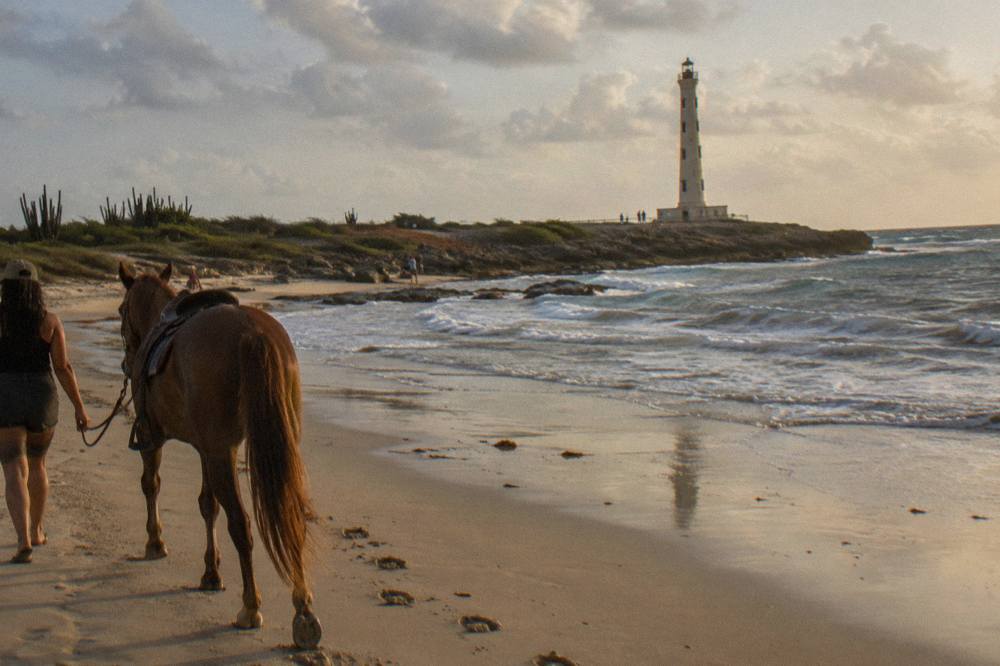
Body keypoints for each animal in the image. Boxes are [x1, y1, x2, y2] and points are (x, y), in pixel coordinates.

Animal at [116, 262, 321, 649]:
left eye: (121, 311)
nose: (126, 362)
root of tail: (252, 332)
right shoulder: (208, 449)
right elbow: (206, 505)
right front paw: (211, 572)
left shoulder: (155, 439)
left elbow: (151, 485)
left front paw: (155, 541)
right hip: (268, 445)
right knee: (290, 515)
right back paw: (302, 609)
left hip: (219, 453)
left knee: (241, 523)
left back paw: (250, 607)